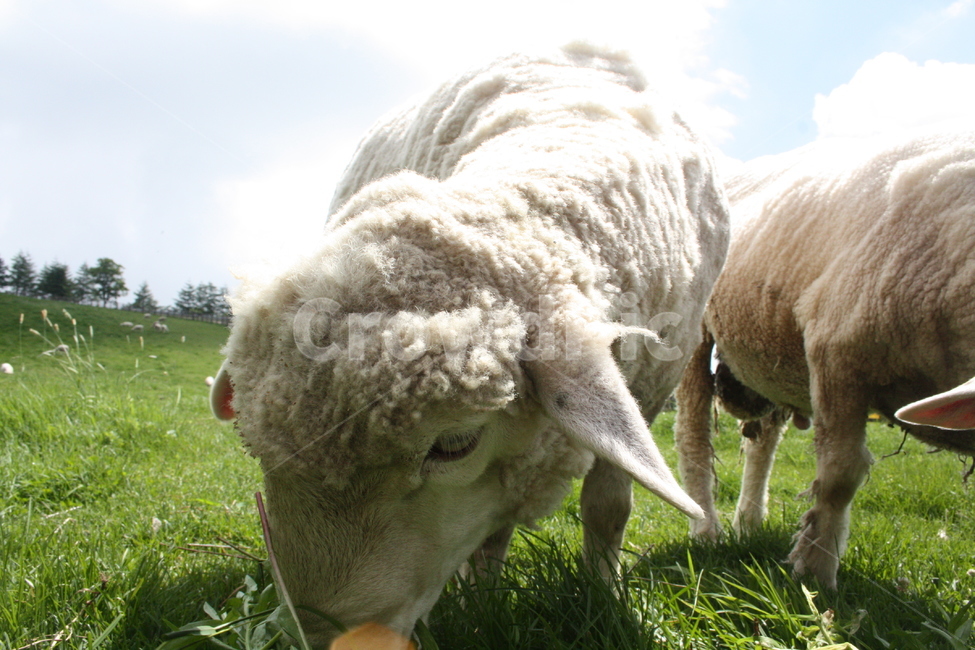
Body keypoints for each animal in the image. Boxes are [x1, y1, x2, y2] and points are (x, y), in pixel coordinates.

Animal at [210, 44, 729, 644]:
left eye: (455, 445)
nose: (320, 638)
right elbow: (490, 533)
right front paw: (479, 600)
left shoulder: (650, 384)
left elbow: (607, 509)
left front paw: (604, 593)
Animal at [674, 129, 975, 589]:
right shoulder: (836, 353)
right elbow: (840, 474)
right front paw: (815, 570)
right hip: (697, 333)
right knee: (693, 436)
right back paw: (706, 530)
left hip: (769, 349)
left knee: (763, 442)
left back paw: (749, 523)